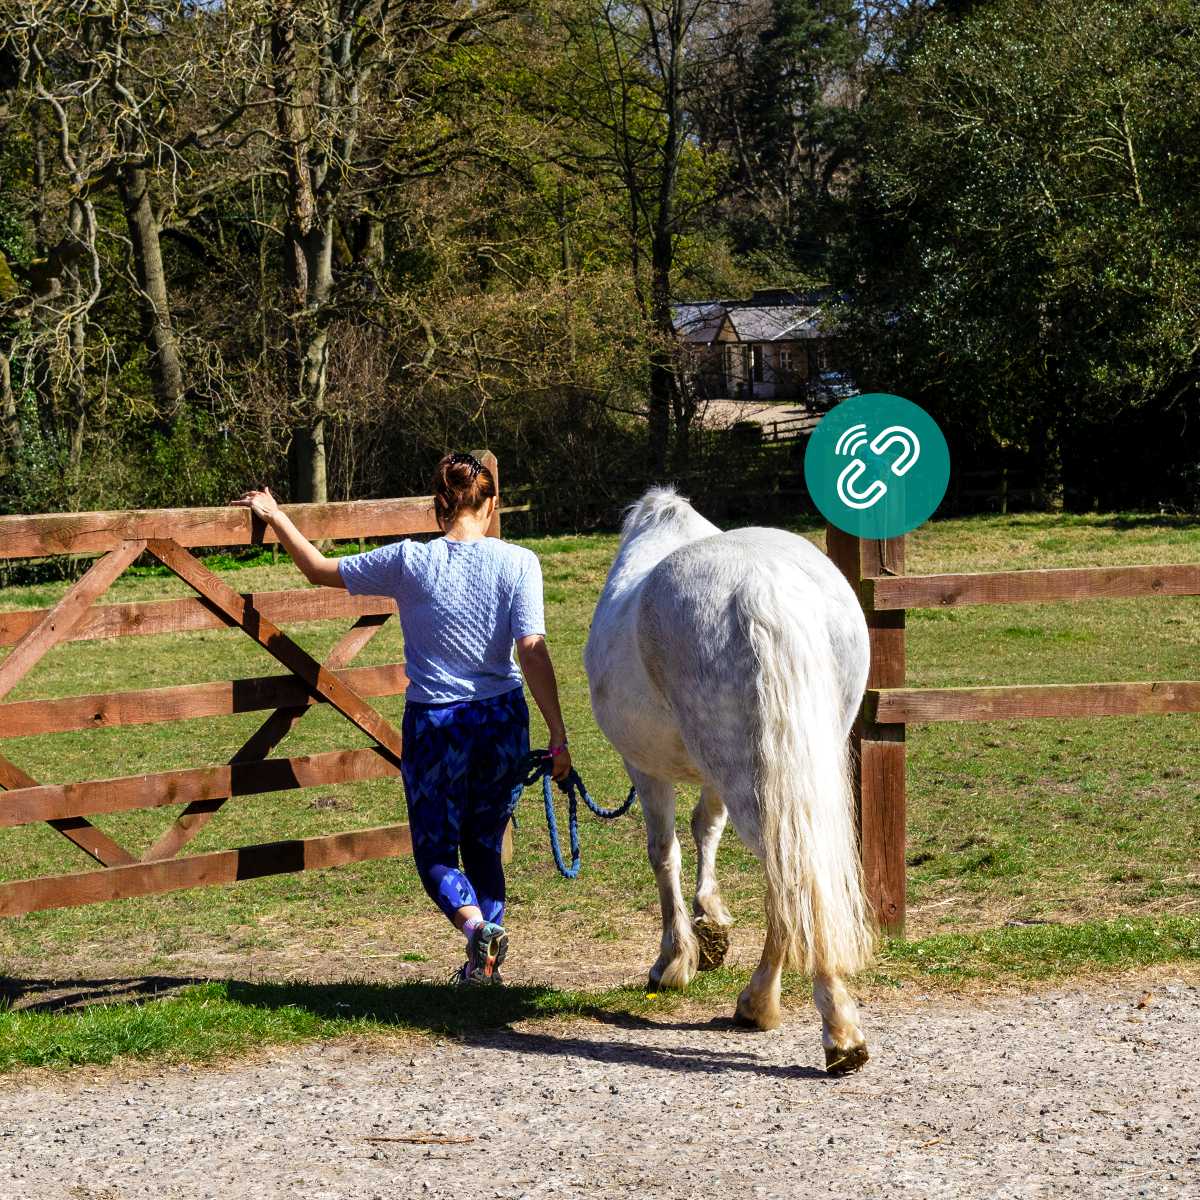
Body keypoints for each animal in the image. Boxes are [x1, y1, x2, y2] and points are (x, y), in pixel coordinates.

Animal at [585, 487, 878, 1080]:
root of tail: (765, 586)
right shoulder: (714, 774)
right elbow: (706, 827)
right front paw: (711, 925)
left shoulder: (644, 768)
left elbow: (665, 852)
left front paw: (675, 958)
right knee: (791, 874)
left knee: (789, 875)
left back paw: (811, 1022)